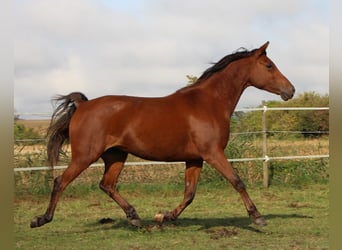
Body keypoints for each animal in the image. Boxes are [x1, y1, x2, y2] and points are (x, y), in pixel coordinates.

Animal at [30, 41, 296, 229]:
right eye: (269, 65)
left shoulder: (195, 158)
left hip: (116, 155)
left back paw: (135, 217)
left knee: (107, 184)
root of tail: (83, 105)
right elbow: (237, 181)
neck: (209, 103)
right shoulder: (213, 153)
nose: (290, 90)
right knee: (61, 182)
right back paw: (42, 219)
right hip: (86, 155)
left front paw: (165, 216)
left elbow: (189, 193)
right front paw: (258, 217)